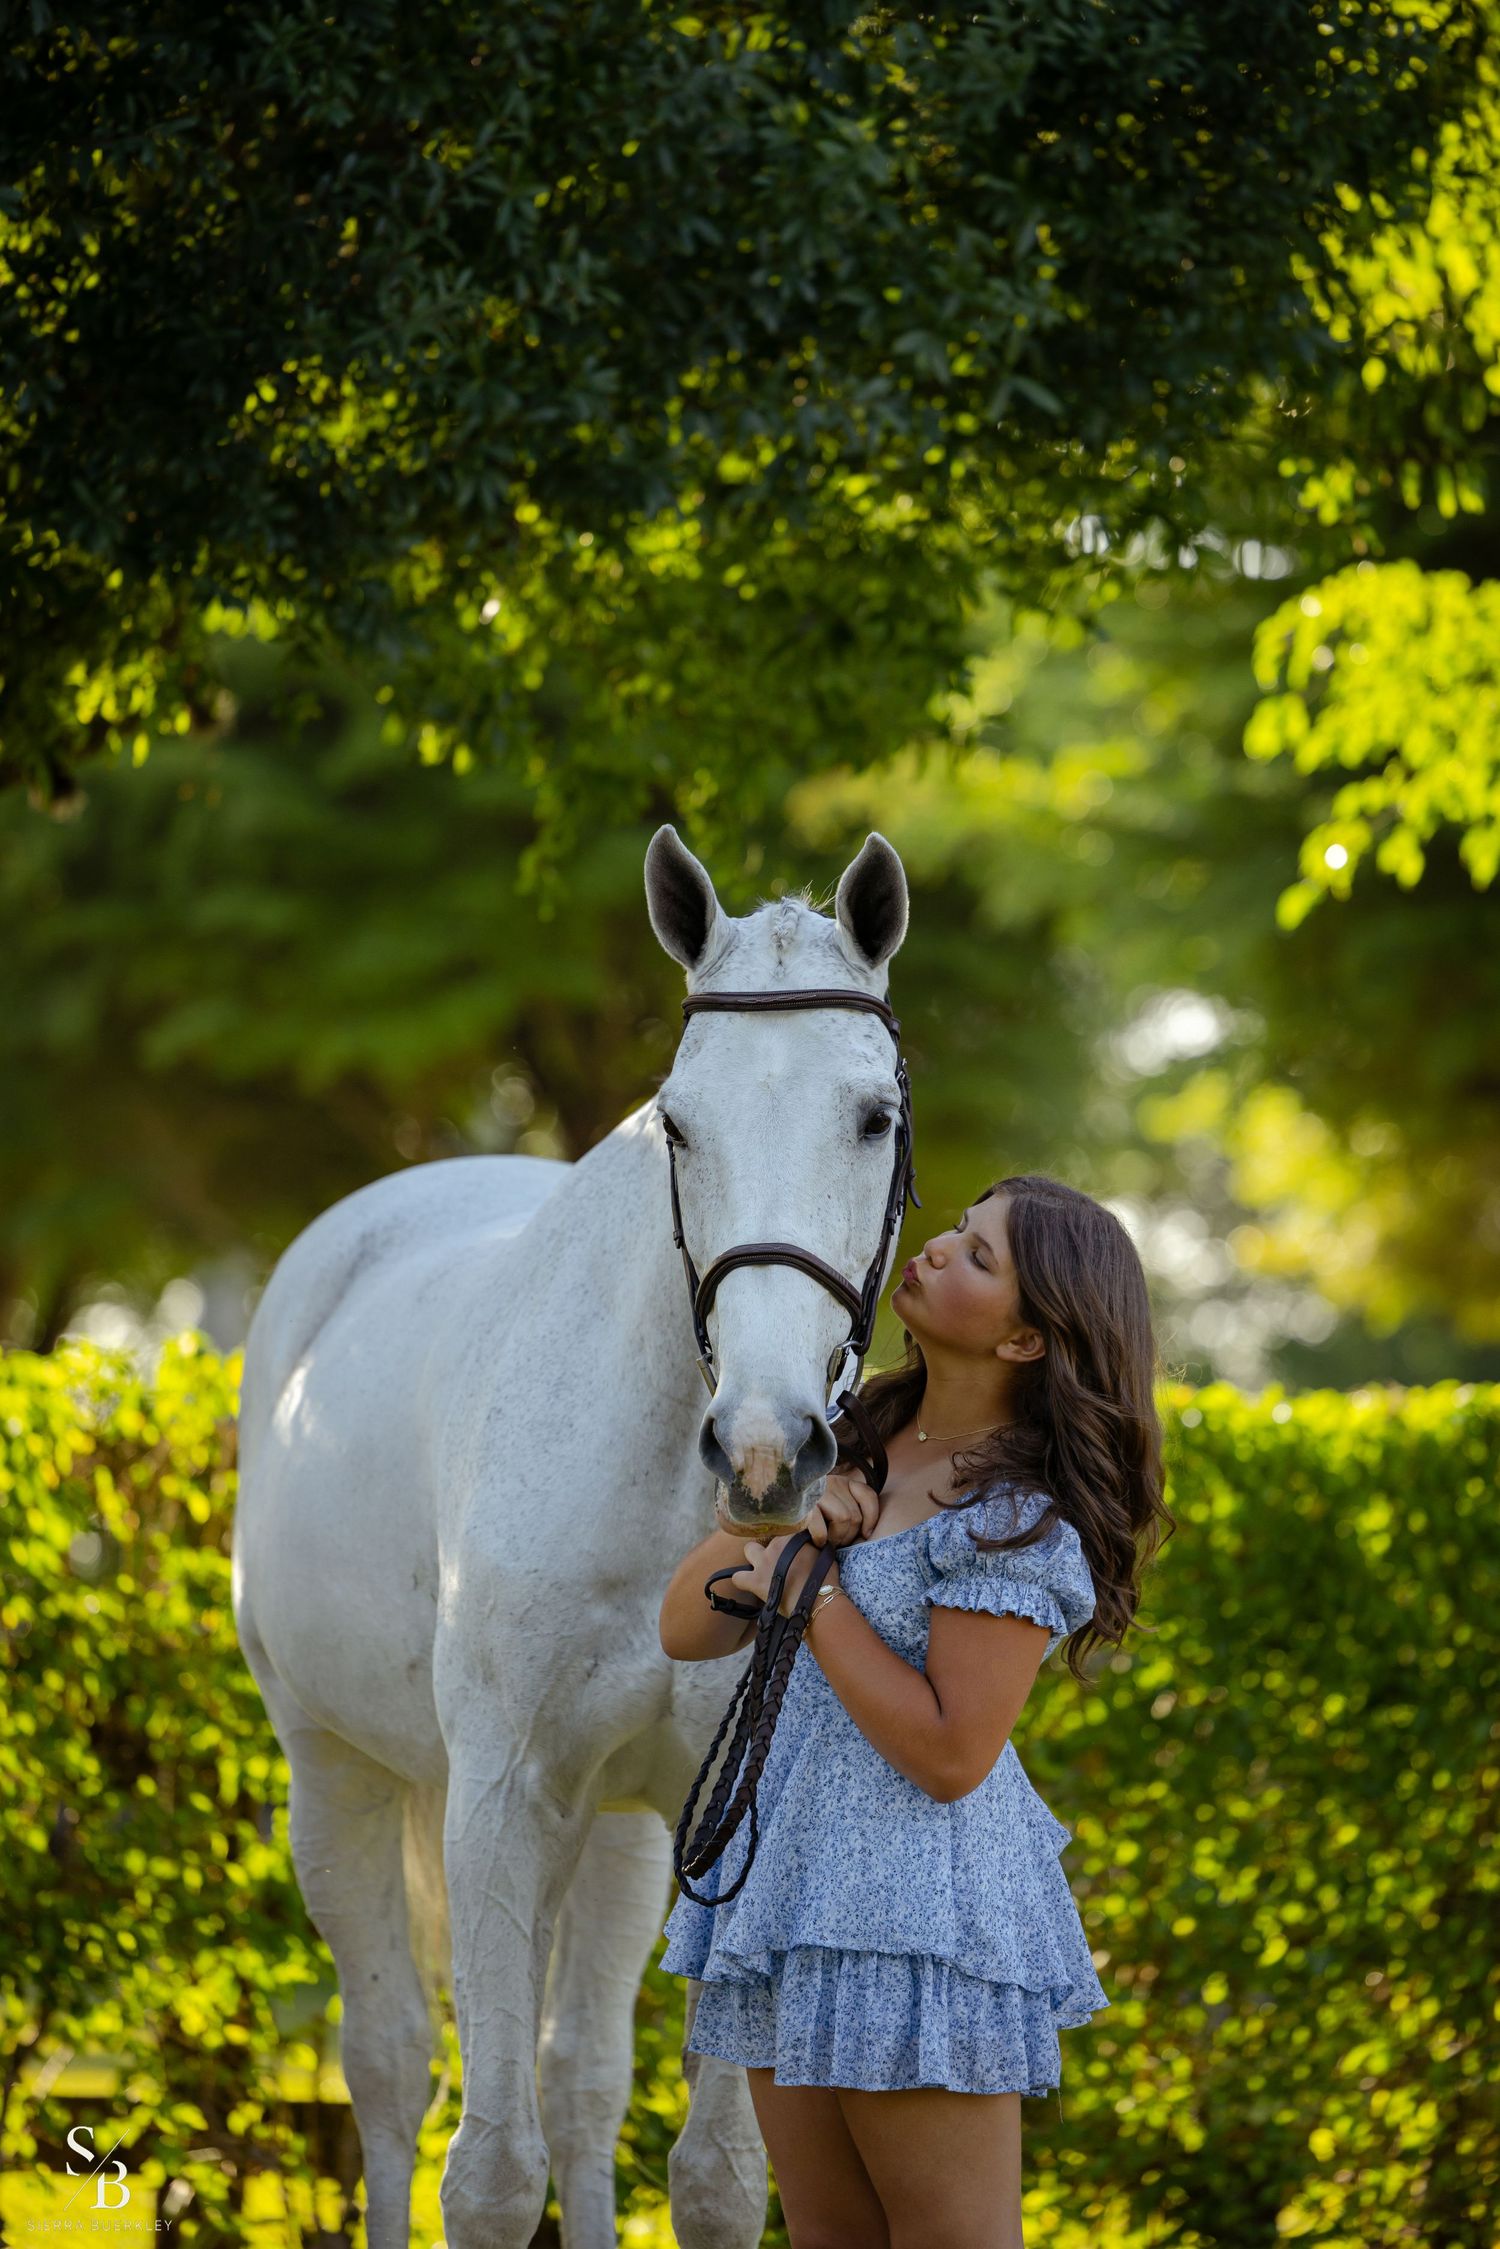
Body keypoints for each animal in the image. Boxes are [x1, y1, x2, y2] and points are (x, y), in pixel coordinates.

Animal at [231, 821, 913, 2247]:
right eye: (681, 1121)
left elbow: (715, 2175)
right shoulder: (498, 1798)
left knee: (580, 2075)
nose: (765, 1447)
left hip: (613, 1830)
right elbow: (489, 2172)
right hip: (337, 1773)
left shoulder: (706, 1812)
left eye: (872, 1116)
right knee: (390, 2062)